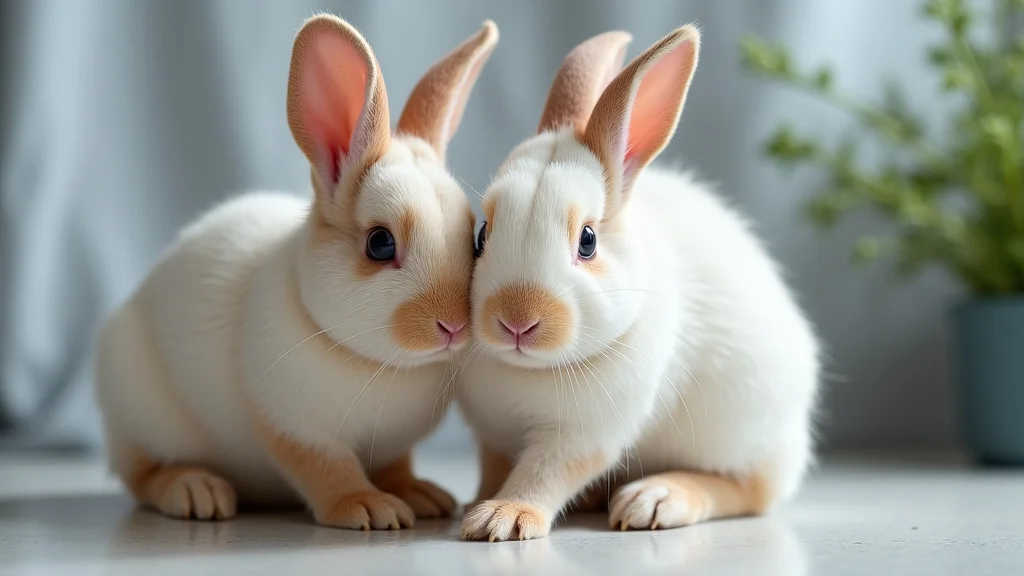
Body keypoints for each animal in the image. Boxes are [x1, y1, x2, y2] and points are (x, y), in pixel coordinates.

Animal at [94, 14, 498, 530]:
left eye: (473, 236)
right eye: (380, 243)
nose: (454, 326)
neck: (379, 364)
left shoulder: (391, 446)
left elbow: (395, 465)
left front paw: (418, 494)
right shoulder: (296, 427)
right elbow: (327, 470)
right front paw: (370, 508)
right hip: (140, 411)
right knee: (141, 473)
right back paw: (195, 491)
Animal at [458, 25, 819, 542]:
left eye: (588, 241)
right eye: (482, 235)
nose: (516, 322)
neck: (529, 370)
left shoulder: (581, 436)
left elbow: (544, 475)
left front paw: (502, 517)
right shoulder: (492, 438)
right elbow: (495, 469)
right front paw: (476, 504)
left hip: (743, 433)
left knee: (750, 489)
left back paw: (655, 499)